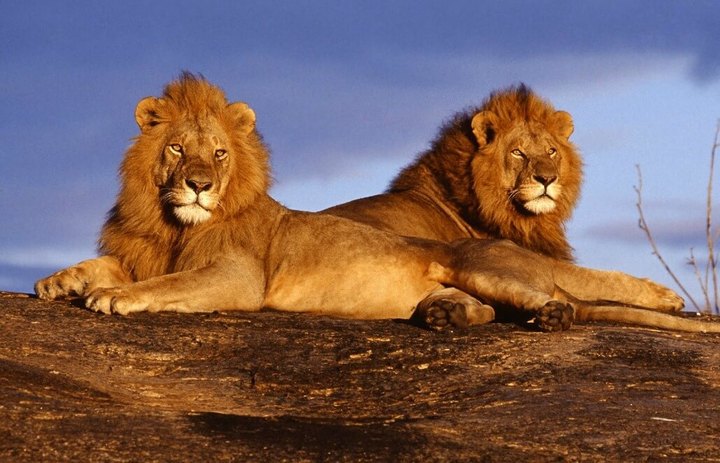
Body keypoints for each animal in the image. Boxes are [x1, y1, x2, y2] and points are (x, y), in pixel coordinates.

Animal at [34, 74, 719, 333]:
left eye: (220, 154)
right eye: (177, 148)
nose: (199, 184)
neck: (172, 223)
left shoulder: (237, 277)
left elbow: (165, 285)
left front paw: (116, 298)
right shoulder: (143, 250)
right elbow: (105, 265)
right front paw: (59, 282)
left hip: (482, 263)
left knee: (562, 300)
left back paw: (550, 316)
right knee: (490, 311)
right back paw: (445, 315)